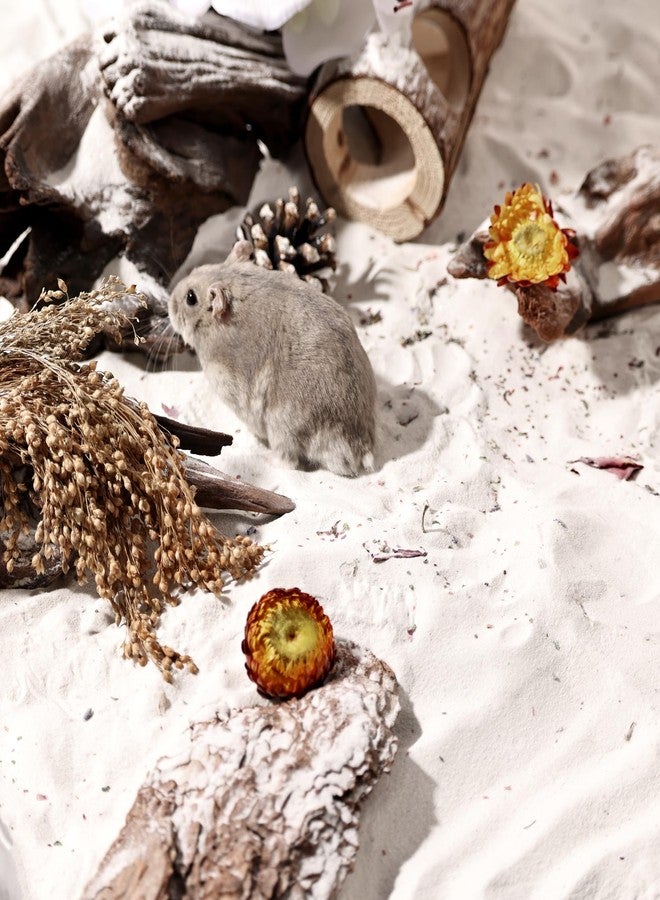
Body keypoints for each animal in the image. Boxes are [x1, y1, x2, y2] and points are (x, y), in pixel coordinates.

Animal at [168, 243, 377, 476]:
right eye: (198, 268)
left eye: (191, 298)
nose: (169, 302)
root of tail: (360, 448)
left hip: (282, 427)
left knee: (289, 461)